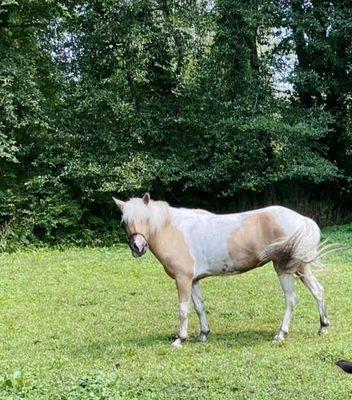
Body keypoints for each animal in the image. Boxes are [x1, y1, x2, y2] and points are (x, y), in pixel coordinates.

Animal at [113, 194, 330, 346]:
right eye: (124, 222)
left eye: (147, 219)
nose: (138, 247)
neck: (174, 230)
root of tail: (303, 220)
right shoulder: (194, 280)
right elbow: (199, 307)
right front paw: (203, 335)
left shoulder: (182, 279)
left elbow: (183, 310)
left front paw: (180, 339)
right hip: (301, 267)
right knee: (318, 291)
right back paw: (323, 327)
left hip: (284, 269)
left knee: (291, 299)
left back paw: (281, 334)